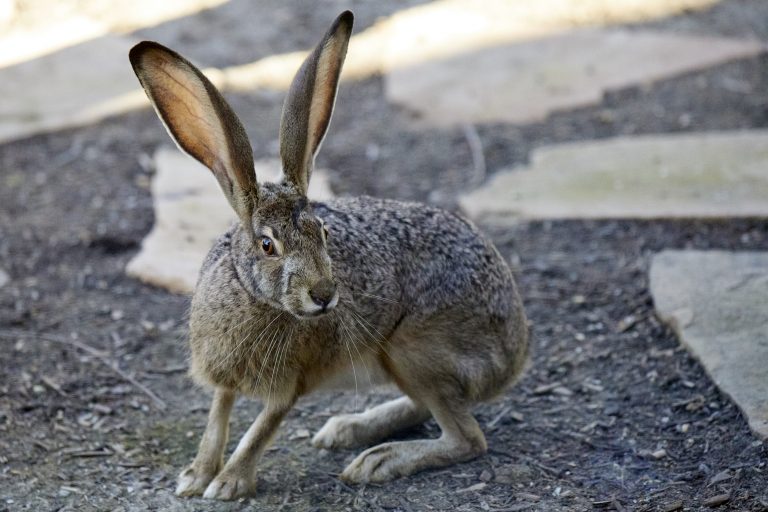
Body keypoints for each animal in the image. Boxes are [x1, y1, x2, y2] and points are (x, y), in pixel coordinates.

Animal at [129, 10, 528, 501]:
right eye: (268, 245)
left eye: (323, 232)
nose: (323, 295)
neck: (255, 297)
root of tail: (514, 352)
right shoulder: (225, 377)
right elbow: (216, 419)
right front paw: (195, 477)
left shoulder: (290, 384)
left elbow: (261, 429)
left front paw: (228, 484)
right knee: (430, 410)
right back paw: (347, 429)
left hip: (414, 350)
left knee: (466, 437)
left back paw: (377, 460)